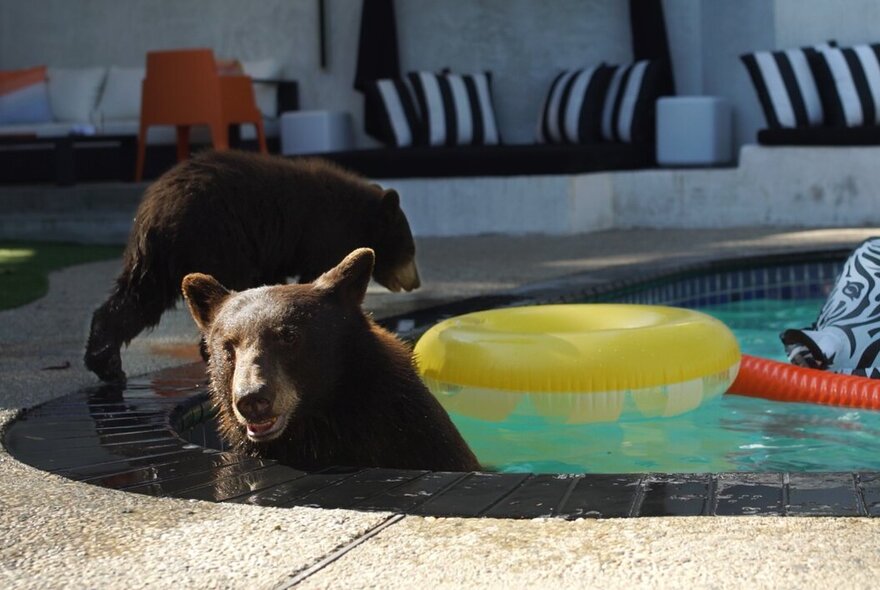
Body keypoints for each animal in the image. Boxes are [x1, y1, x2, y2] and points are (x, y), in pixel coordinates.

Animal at [85, 150, 420, 383]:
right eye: (411, 248)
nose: (416, 282)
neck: (357, 216)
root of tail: (156, 215)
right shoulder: (324, 233)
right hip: (218, 241)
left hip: (157, 261)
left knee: (137, 300)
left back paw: (106, 362)